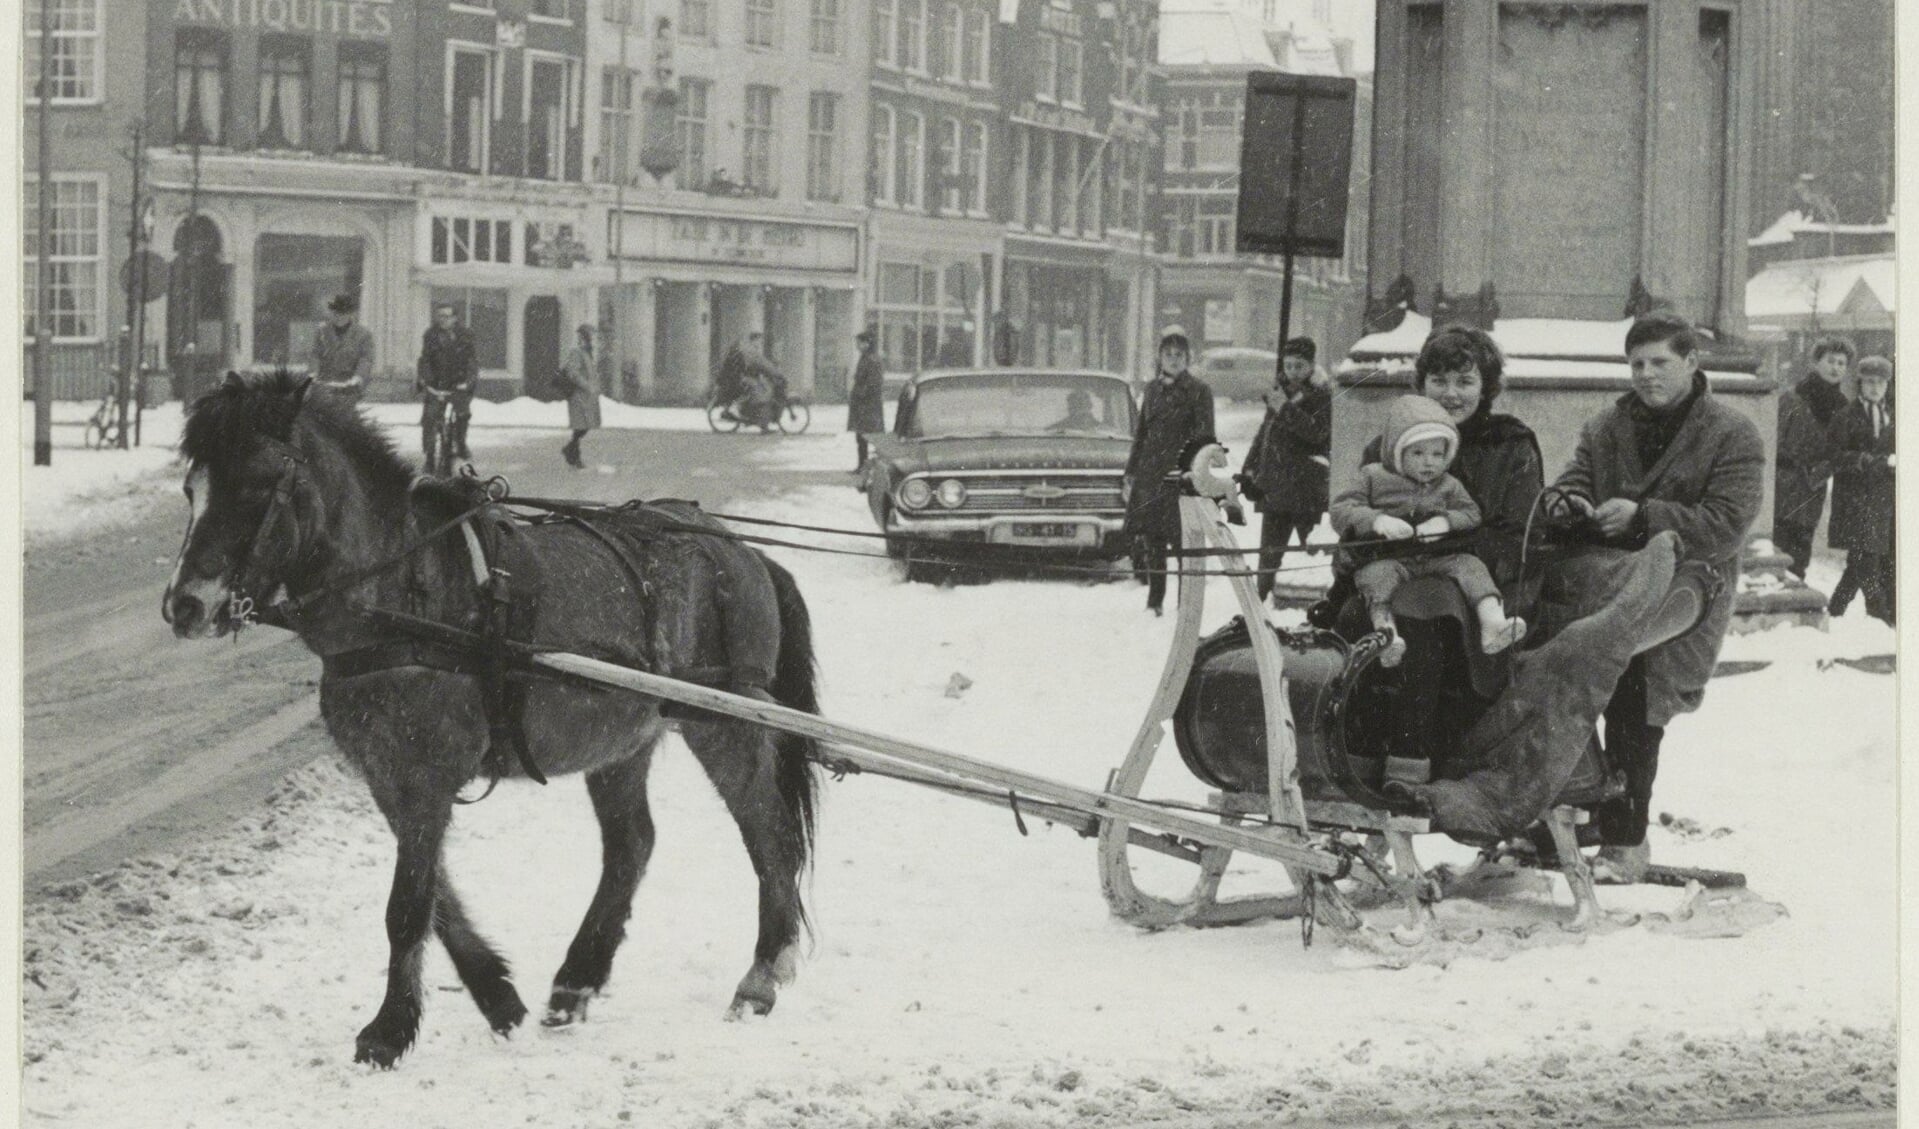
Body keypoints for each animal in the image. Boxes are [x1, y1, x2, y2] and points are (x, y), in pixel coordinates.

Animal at [163, 372, 817, 1067]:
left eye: (259, 483)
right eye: (192, 487)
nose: (185, 605)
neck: (405, 592)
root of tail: (742, 550)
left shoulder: (426, 775)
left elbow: (407, 905)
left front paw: (388, 1031)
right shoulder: (389, 777)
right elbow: (435, 899)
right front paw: (495, 994)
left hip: (723, 722)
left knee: (769, 832)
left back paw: (759, 977)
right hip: (622, 739)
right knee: (632, 844)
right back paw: (578, 979)